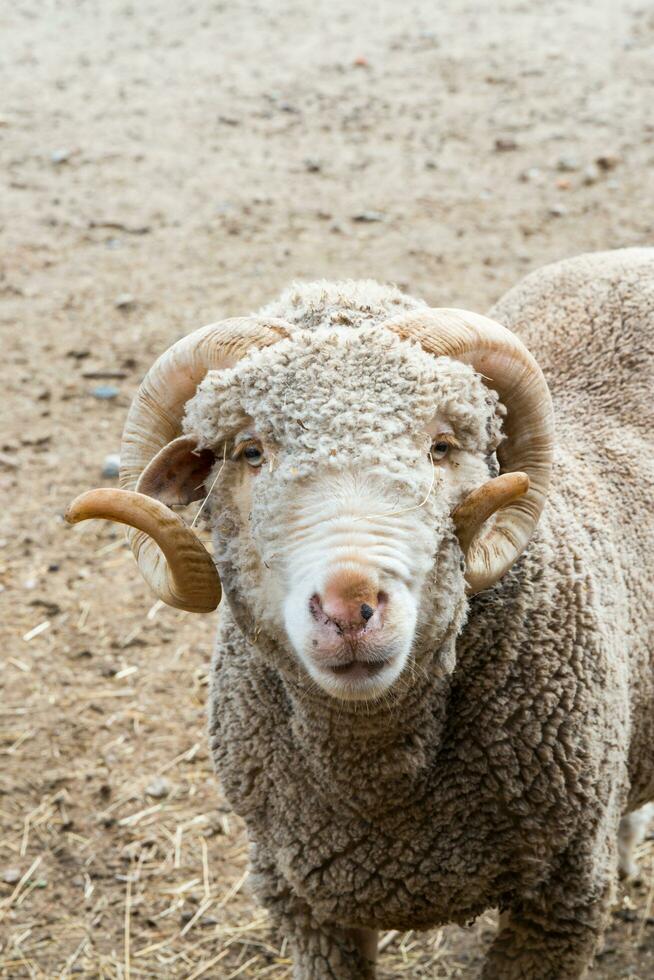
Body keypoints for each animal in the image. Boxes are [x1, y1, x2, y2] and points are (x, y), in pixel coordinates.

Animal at [66, 251, 654, 980]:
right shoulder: (303, 902)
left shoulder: (561, 900)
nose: (351, 608)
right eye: (250, 452)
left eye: (442, 445)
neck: (377, 775)